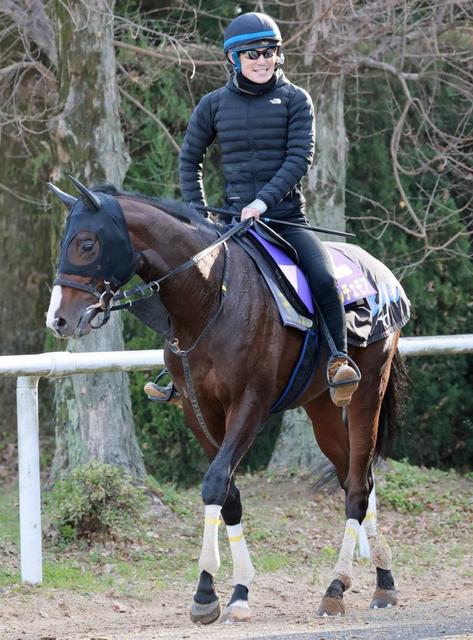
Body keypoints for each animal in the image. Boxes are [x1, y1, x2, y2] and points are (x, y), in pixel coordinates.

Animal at [48, 176, 408, 624]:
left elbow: (216, 482)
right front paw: (232, 590)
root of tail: (383, 274)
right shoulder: (197, 408)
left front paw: (207, 589)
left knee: (359, 486)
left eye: (86, 244)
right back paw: (382, 579)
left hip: (367, 390)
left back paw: (336, 587)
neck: (210, 298)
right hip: (321, 406)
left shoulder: (250, 404)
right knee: (354, 479)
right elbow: (229, 496)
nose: (58, 320)